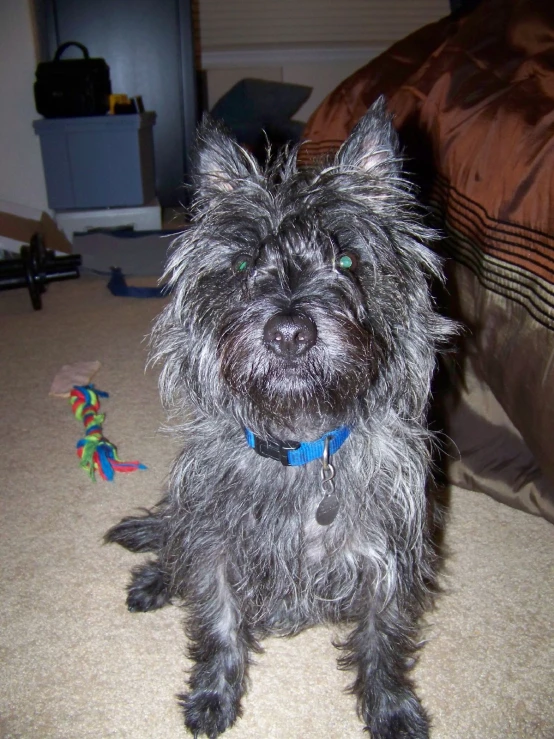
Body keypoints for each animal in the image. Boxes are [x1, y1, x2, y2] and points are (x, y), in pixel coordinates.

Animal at [105, 98, 450, 739]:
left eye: (346, 258)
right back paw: (156, 578)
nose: (289, 332)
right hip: (186, 518)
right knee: (172, 536)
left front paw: (391, 709)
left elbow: (382, 641)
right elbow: (218, 625)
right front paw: (213, 696)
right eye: (242, 263)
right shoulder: (215, 547)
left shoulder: (387, 562)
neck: (298, 441)